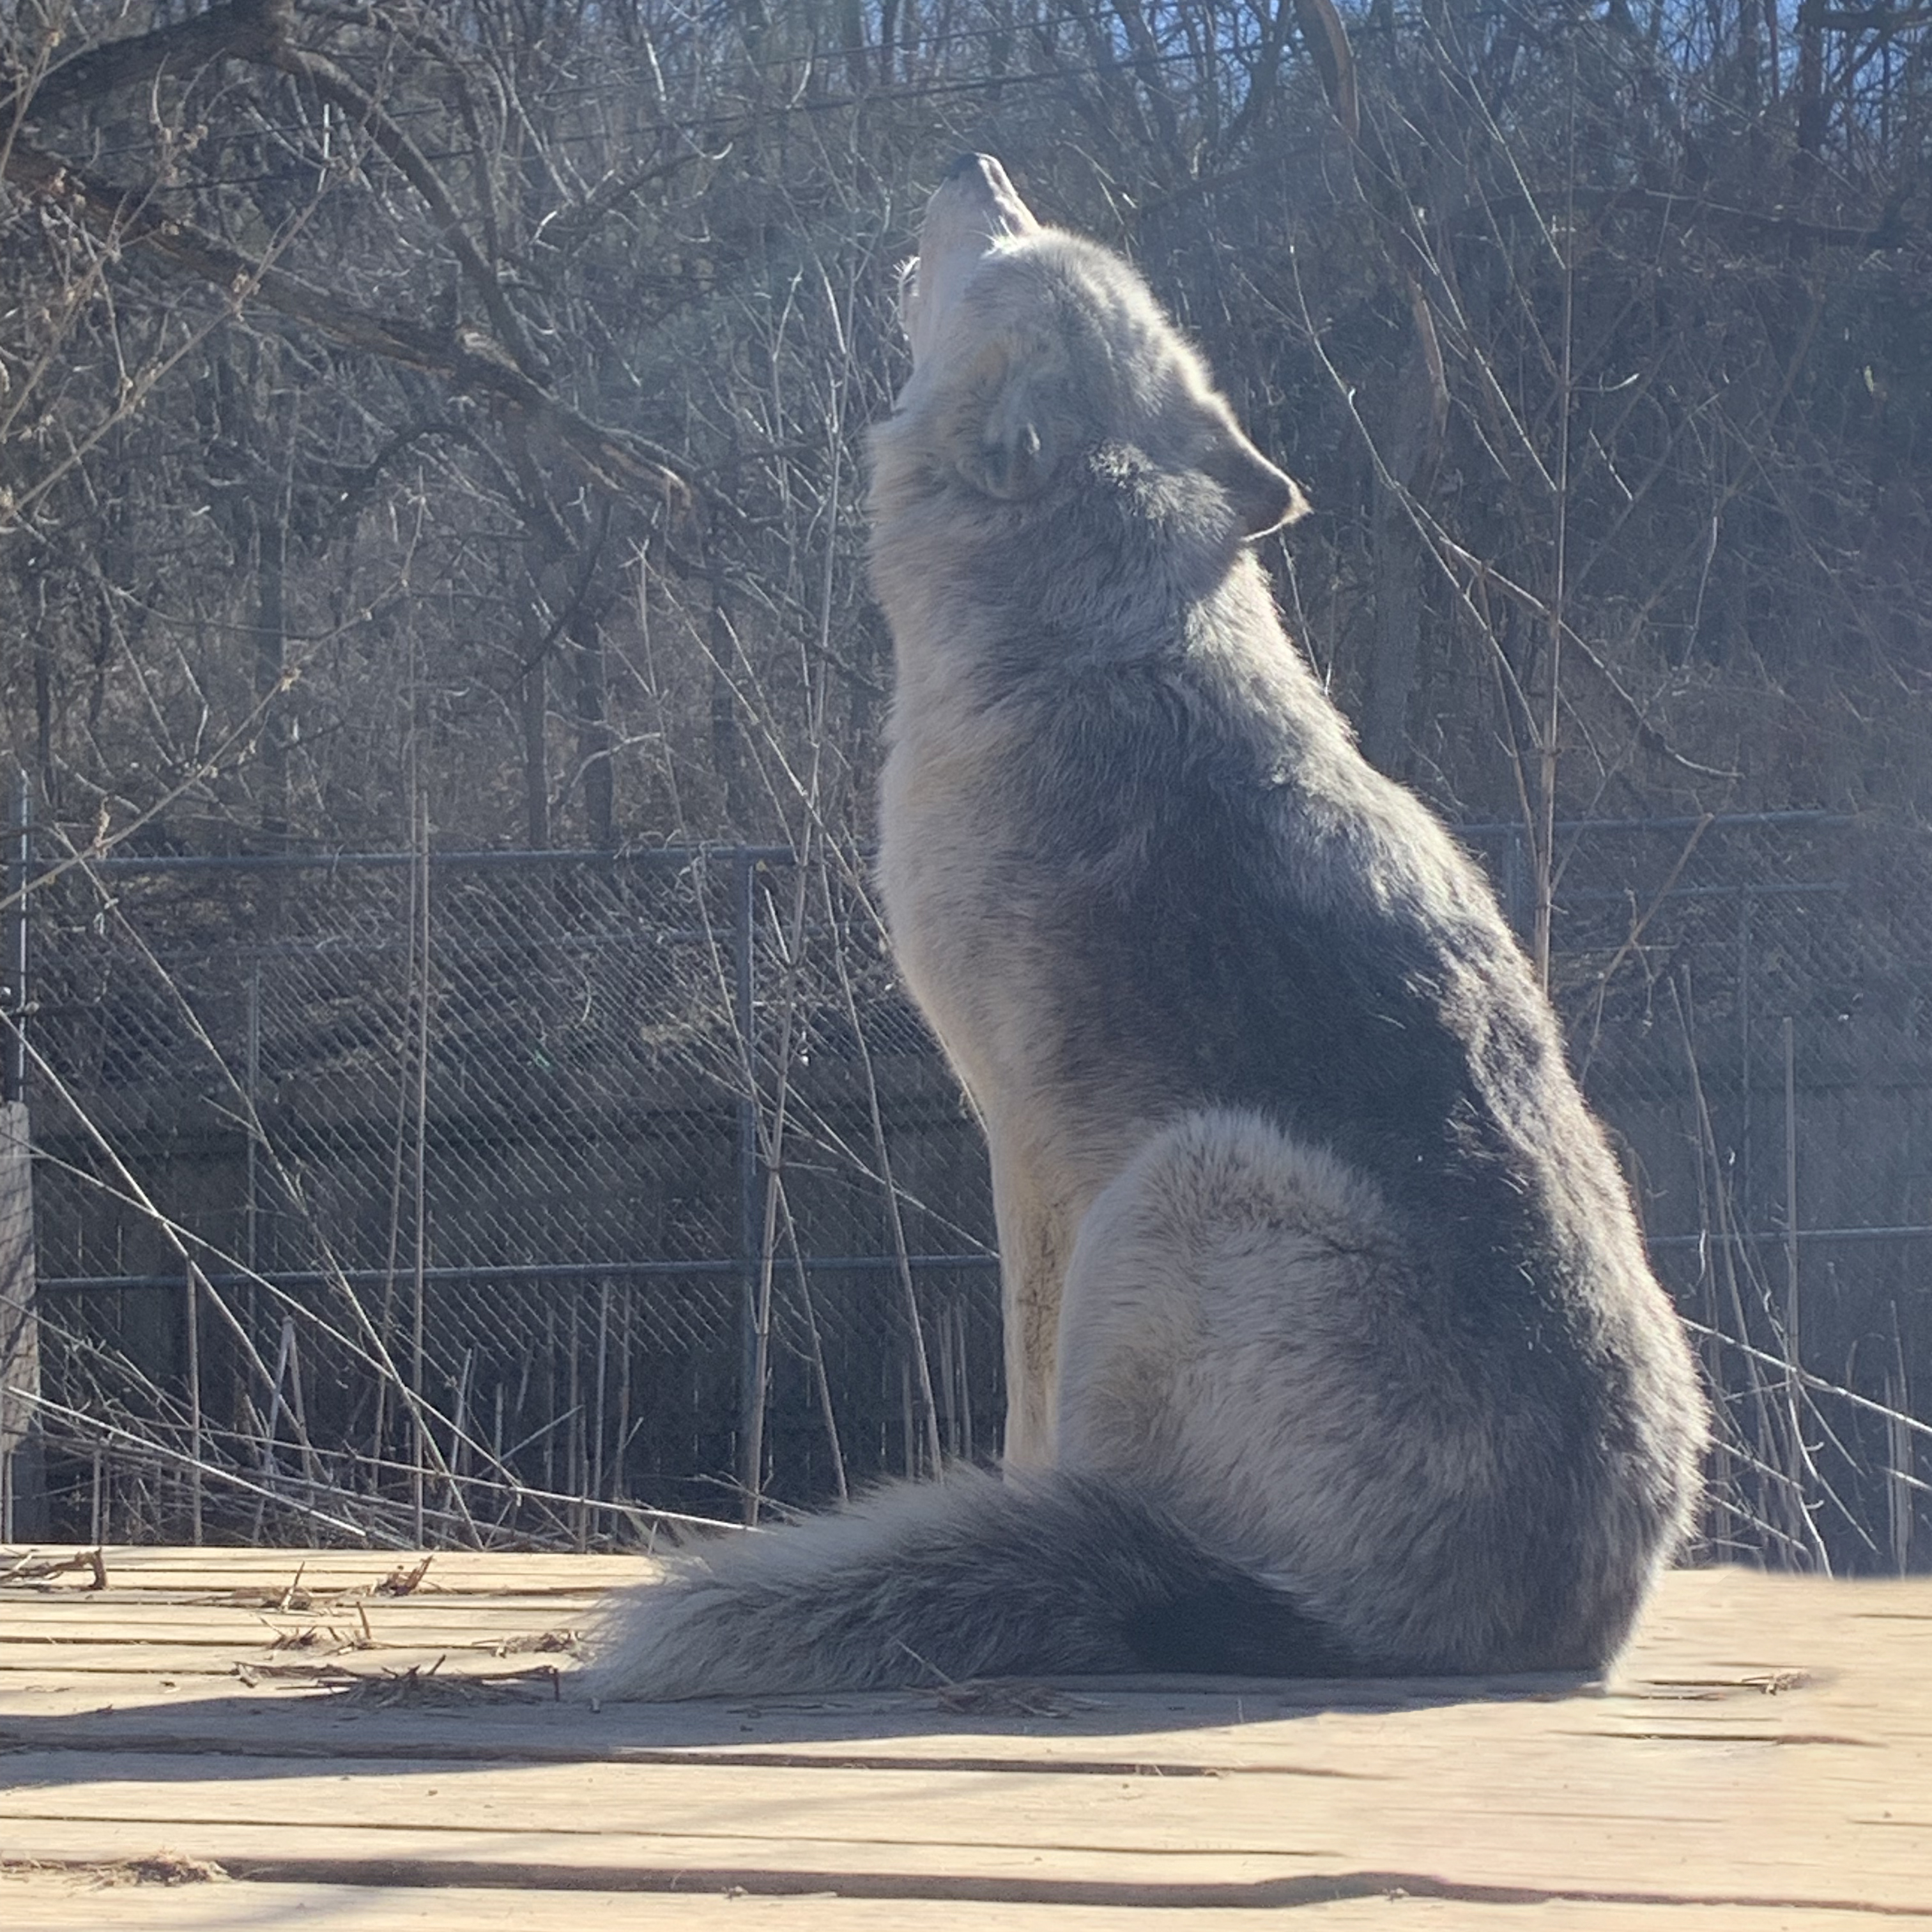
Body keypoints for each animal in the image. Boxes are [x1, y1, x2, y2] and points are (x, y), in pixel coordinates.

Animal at [586, 155, 1707, 1699]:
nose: (980, 163)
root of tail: (1548, 1628)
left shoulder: (1027, 1152)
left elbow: (1021, 1398)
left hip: (1180, 1184)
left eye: (1008, 247)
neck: (1078, 635)